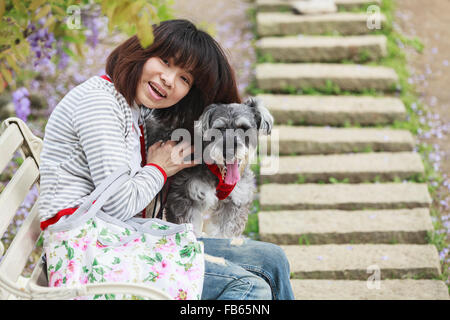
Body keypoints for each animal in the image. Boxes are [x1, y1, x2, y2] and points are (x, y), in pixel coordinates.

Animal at [146, 97, 272, 238]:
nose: (228, 152)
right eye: (219, 128)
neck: (218, 172)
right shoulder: (185, 198)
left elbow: (224, 233)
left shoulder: (234, 204)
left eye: (244, 128)